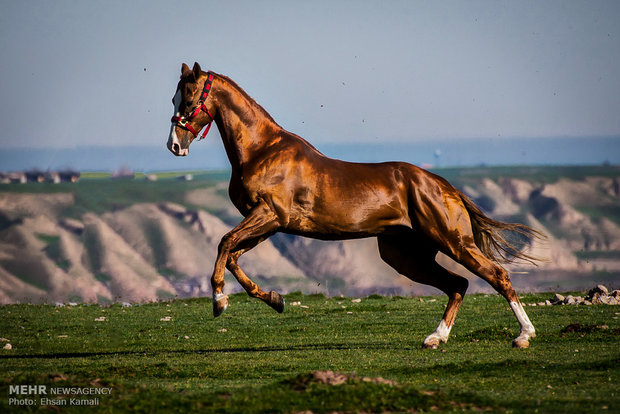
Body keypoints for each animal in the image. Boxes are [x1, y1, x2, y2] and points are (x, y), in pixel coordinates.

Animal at [167, 61, 544, 348]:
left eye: (189, 99)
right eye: (174, 98)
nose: (174, 145)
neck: (263, 150)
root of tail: (443, 186)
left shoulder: (269, 215)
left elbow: (224, 242)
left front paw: (219, 301)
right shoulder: (267, 224)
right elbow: (232, 256)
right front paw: (275, 299)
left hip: (452, 241)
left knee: (496, 275)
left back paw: (523, 336)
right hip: (405, 255)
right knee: (458, 285)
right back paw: (435, 338)